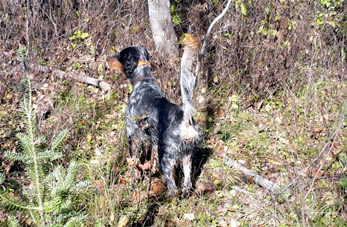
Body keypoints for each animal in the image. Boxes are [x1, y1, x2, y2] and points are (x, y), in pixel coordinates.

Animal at [109, 36, 201, 195]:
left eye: (120, 55)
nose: (107, 58)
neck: (144, 80)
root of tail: (185, 119)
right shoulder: (153, 140)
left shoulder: (133, 134)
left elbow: (133, 162)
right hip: (187, 155)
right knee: (187, 183)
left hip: (167, 156)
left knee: (173, 188)